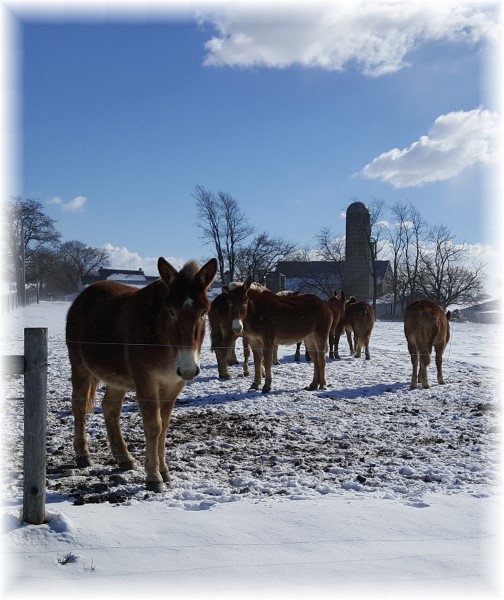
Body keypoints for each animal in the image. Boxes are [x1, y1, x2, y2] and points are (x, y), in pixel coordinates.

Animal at [65, 258, 217, 492]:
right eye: (171, 311)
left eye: (203, 312)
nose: (188, 368)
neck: (162, 340)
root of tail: (83, 297)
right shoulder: (146, 382)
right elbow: (154, 426)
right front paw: (154, 477)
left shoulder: (174, 385)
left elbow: (164, 426)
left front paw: (164, 471)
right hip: (80, 368)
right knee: (79, 406)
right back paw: (83, 455)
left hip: (116, 379)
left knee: (110, 409)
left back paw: (124, 457)